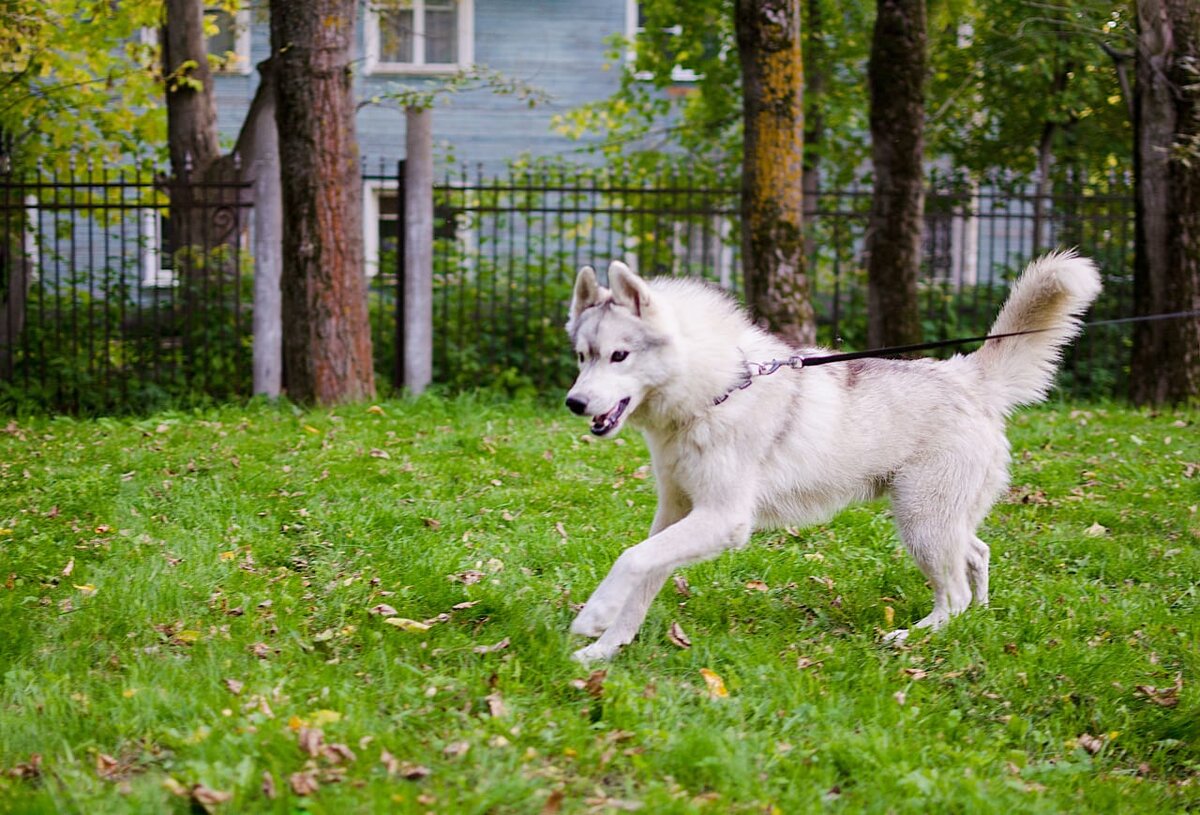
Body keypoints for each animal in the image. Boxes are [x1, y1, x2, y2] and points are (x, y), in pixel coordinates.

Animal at [566, 250, 1099, 662]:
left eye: (619, 355)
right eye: (582, 356)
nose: (575, 402)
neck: (716, 391)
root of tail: (965, 374)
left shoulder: (723, 519)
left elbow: (631, 559)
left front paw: (593, 617)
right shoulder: (675, 514)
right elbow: (642, 577)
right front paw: (605, 649)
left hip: (920, 523)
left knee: (954, 594)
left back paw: (914, 636)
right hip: (939, 520)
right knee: (977, 556)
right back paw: (980, 619)